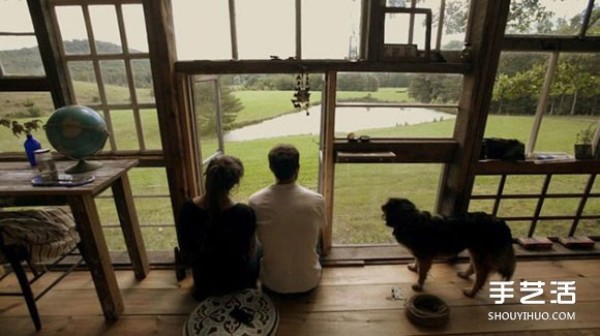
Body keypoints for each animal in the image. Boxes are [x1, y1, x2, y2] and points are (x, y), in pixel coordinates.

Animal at [384, 197, 516, 296]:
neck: (410, 220)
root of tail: (502, 224)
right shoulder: (421, 253)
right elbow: (417, 261)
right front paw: (414, 267)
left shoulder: (425, 256)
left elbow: (422, 273)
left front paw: (419, 285)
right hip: (475, 251)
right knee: (474, 267)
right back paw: (465, 275)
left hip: (480, 254)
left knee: (481, 276)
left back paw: (471, 292)